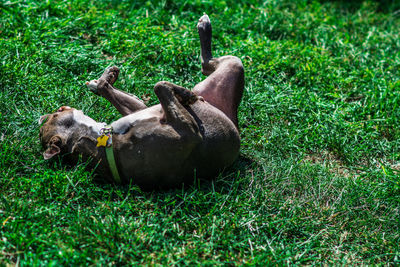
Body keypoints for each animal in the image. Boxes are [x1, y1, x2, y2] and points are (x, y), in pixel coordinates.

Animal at [39, 14, 244, 189]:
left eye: (57, 111)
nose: (42, 117)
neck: (103, 141)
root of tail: (234, 122)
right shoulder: (189, 132)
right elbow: (159, 85)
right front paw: (187, 94)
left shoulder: (146, 111)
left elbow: (158, 88)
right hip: (234, 65)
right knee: (206, 64)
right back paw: (204, 26)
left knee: (108, 89)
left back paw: (103, 80)